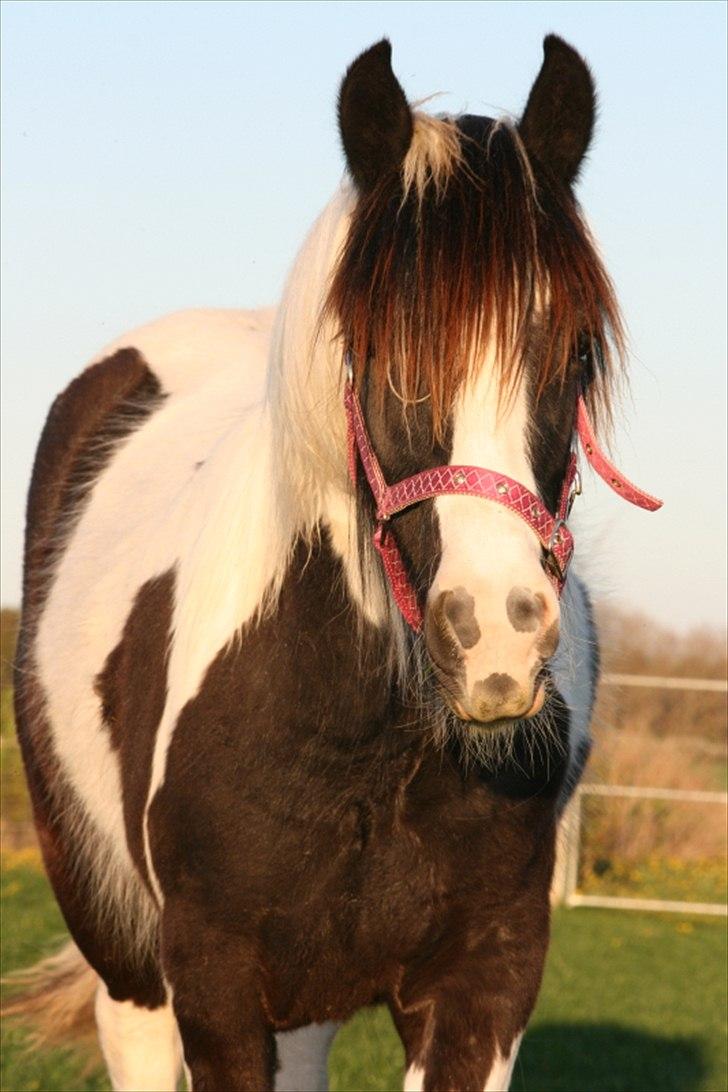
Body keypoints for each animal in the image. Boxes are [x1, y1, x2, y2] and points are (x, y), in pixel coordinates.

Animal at [8, 34, 663, 1092]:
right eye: (382, 353)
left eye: (572, 352)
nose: (495, 643)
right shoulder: (215, 985)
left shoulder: (485, 986)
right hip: (125, 957)